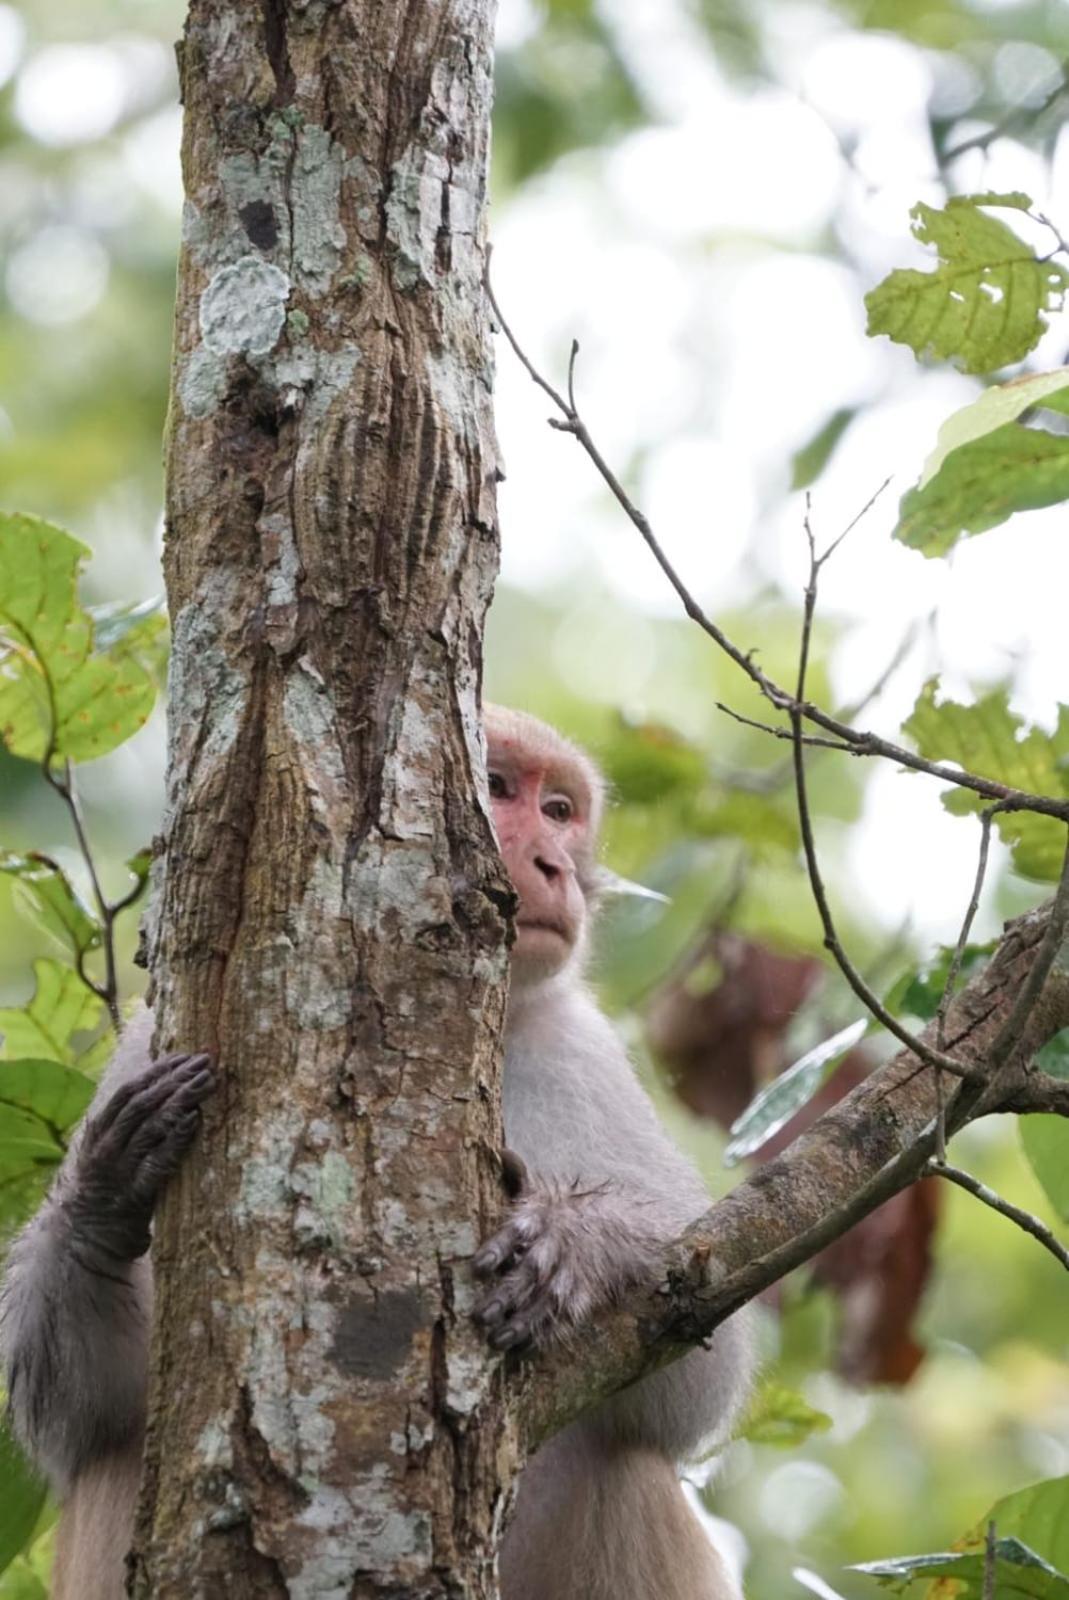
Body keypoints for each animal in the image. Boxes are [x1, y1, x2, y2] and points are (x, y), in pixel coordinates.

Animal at [2, 713, 752, 1600]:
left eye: (561, 810)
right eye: (499, 788)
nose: (552, 863)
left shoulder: (583, 1048)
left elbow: (693, 1370)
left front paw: (577, 1246)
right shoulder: (152, 1044)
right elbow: (84, 1412)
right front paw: (100, 1200)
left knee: (631, 1468)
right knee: (113, 1464)